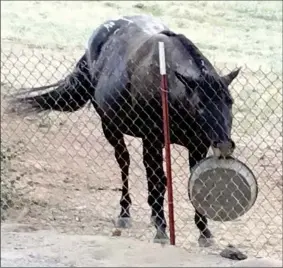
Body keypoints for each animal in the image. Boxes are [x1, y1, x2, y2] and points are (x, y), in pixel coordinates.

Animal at [11, 14, 242, 245]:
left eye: (229, 101)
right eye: (199, 105)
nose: (224, 145)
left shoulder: (197, 145)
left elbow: (193, 185)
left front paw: (204, 232)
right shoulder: (153, 140)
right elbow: (157, 181)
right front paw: (161, 229)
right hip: (111, 128)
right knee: (125, 163)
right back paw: (126, 213)